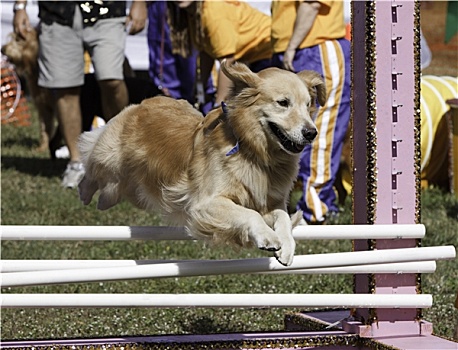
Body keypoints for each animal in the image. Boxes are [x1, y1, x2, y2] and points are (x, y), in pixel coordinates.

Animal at [78, 62, 326, 266]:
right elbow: (248, 214)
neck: (253, 151)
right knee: (91, 164)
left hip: (131, 188)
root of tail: (149, 99)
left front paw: (287, 247)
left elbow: (283, 217)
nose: (311, 133)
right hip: (109, 157)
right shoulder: (206, 203)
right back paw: (83, 192)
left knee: (108, 193)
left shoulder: (268, 200)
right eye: (283, 103)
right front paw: (268, 237)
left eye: (308, 105)